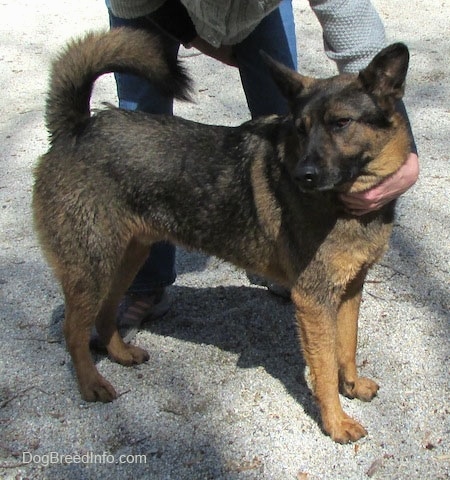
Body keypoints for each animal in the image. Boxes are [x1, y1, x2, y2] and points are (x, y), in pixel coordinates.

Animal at [32, 27, 412, 442]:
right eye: (301, 128)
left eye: (341, 123)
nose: (302, 177)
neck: (346, 203)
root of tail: (77, 127)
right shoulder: (314, 301)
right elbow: (325, 368)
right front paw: (335, 421)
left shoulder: (349, 289)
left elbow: (347, 347)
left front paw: (353, 386)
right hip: (93, 268)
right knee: (73, 331)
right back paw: (91, 384)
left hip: (126, 259)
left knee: (104, 315)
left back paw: (119, 353)